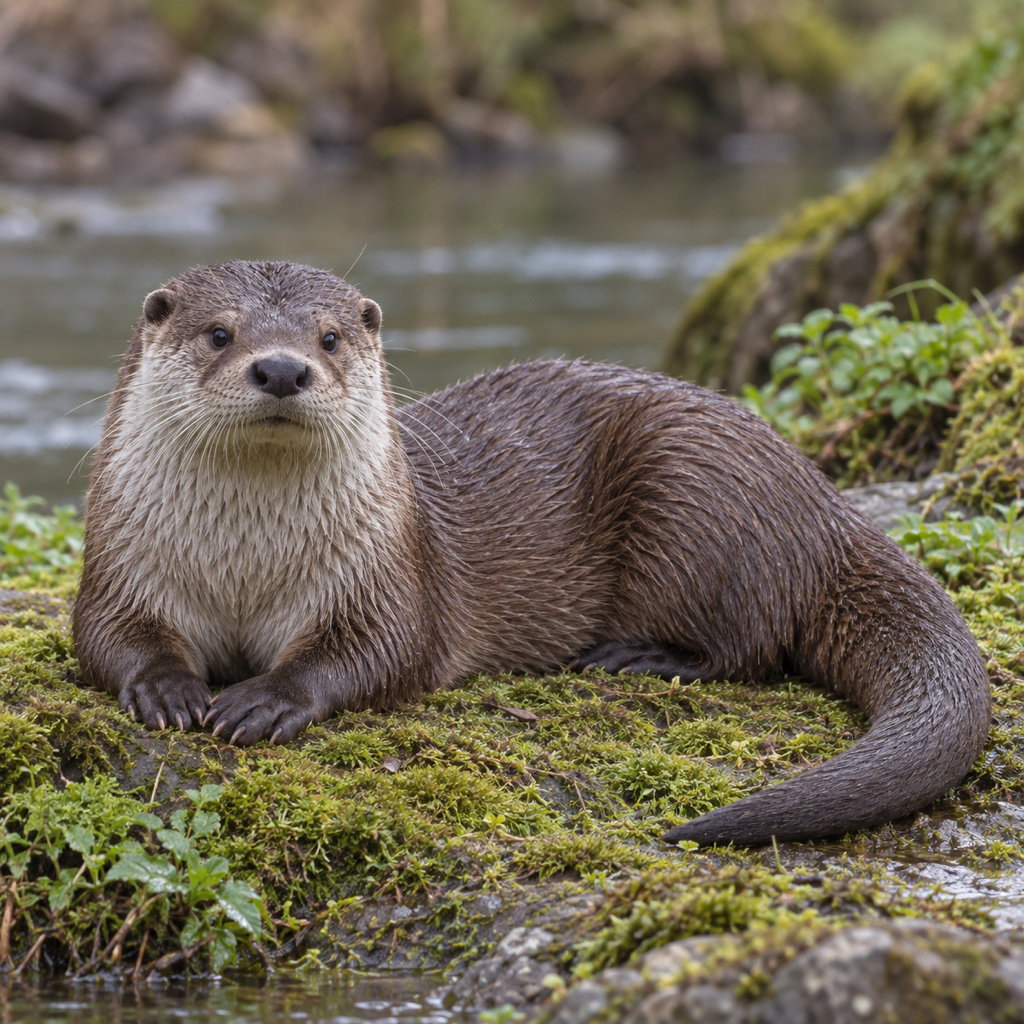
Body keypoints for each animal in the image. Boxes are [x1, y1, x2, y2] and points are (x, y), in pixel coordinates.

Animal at [73, 260, 991, 846]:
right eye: (219, 333)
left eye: (330, 338)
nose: (281, 368)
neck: (246, 567)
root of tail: (822, 497)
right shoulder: (121, 563)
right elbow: (105, 637)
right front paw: (167, 689)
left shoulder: (386, 576)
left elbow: (376, 652)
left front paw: (264, 700)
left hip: (697, 490)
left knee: (753, 641)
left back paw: (639, 658)